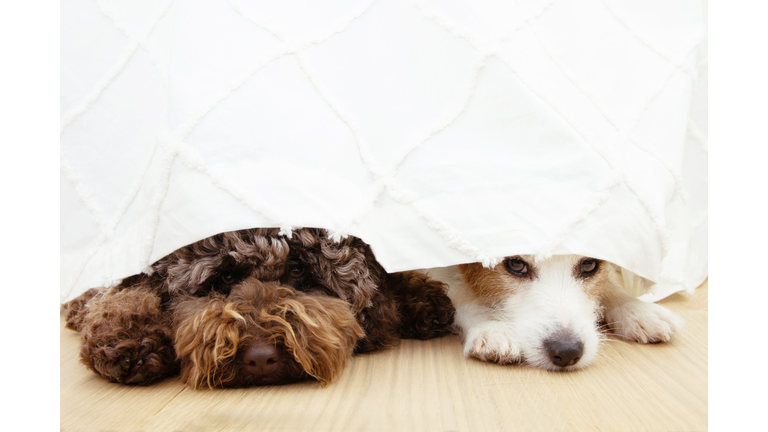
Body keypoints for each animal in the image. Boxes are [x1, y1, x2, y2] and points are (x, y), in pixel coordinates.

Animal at [64, 228, 456, 386]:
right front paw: (128, 337)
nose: (261, 358)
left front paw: (421, 299)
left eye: (297, 270)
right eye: (223, 278)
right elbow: (129, 297)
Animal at [428, 256, 688, 372]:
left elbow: (610, 282)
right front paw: (493, 326)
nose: (567, 352)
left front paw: (637, 309)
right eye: (515, 264)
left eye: (589, 265)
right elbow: (462, 294)